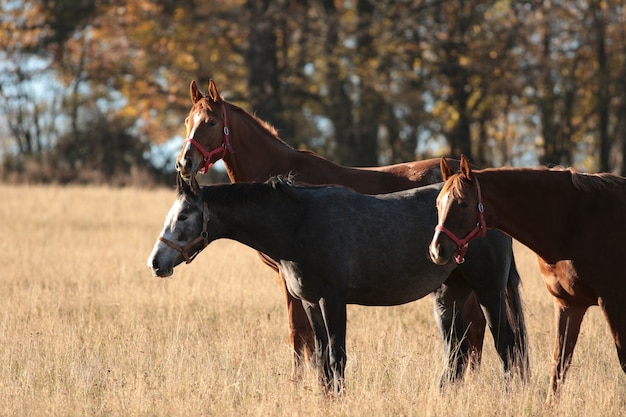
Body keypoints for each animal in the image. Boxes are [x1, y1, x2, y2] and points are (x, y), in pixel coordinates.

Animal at [147, 178, 528, 394]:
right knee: (456, 354)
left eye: (184, 216)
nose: (156, 262)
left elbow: (336, 357)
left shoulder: (333, 300)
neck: (299, 223)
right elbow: (320, 360)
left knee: (507, 347)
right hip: (449, 295)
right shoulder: (311, 302)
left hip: (488, 292)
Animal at [426, 154, 624, 402]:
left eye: (463, 203)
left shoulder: (612, 302)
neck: (574, 221)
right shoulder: (569, 304)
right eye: (437, 204)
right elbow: (559, 365)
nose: (437, 250)